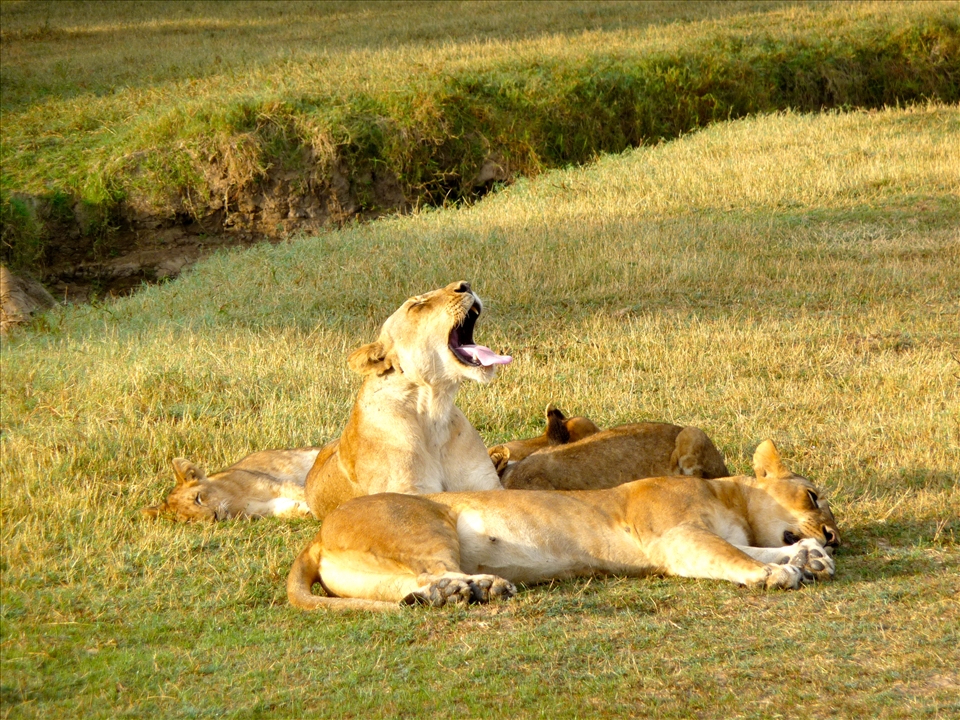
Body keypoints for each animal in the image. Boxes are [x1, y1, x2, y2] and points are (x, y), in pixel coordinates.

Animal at [141, 448, 321, 521]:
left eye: (198, 498)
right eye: (188, 520)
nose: (214, 517)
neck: (234, 502)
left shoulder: (278, 485)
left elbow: (303, 493)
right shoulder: (261, 509)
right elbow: (284, 509)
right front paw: (303, 511)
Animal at [287, 439, 840, 611]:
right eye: (814, 496)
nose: (834, 536)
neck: (730, 500)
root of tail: (318, 534)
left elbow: (755, 548)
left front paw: (809, 558)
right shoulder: (675, 538)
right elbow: (736, 556)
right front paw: (777, 572)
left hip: (370, 572)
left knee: (408, 588)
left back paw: (462, 592)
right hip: (426, 524)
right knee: (430, 570)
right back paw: (480, 588)